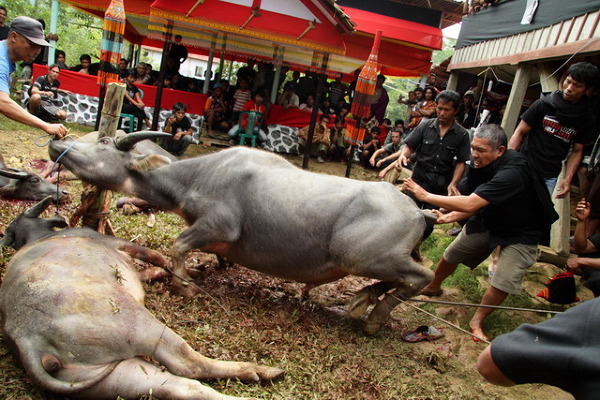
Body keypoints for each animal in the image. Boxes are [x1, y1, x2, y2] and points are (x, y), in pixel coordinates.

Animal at [0, 198, 284, 400]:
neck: (40, 237)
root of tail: (28, 339)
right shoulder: (117, 243)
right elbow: (157, 258)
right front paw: (188, 274)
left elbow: (152, 270)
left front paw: (192, 270)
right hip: (140, 325)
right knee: (188, 364)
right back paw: (259, 370)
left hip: (115, 378)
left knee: (178, 387)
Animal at [47, 132, 432, 334]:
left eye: (104, 141)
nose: (56, 142)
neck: (196, 176)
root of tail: (417, 211)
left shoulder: (220, 224)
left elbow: (179, 245)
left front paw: (185, 285)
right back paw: (362, 300)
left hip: (360, 255)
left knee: (422, 278)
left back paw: (374, 318)